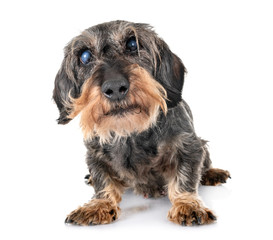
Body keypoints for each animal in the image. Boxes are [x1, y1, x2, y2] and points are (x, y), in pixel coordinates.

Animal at [52, 20, 228, 225]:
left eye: (132, 45)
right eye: (85, 56)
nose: (114, 87)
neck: (131, 131)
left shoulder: (189, 146)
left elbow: (185, 177)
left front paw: (188, 204)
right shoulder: (94, 154)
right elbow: (102, 179)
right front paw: (99, 204)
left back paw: (212, 173)